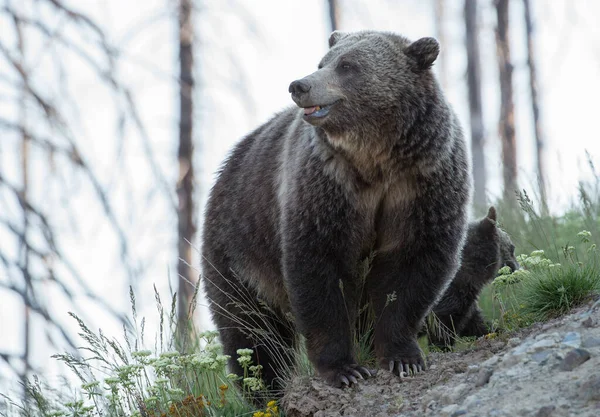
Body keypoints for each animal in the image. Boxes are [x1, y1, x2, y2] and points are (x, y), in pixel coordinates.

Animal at [202, 30, 474, 390]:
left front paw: (403, 358)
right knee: (252, 330)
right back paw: (266, 386)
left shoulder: (422, 184)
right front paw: (345, 369)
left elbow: (411, 267)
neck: (375, 159)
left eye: (348, 65)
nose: (300, 85)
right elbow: (319, 270)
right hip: (239, 248)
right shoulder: (327, 188)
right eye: (323, 62)